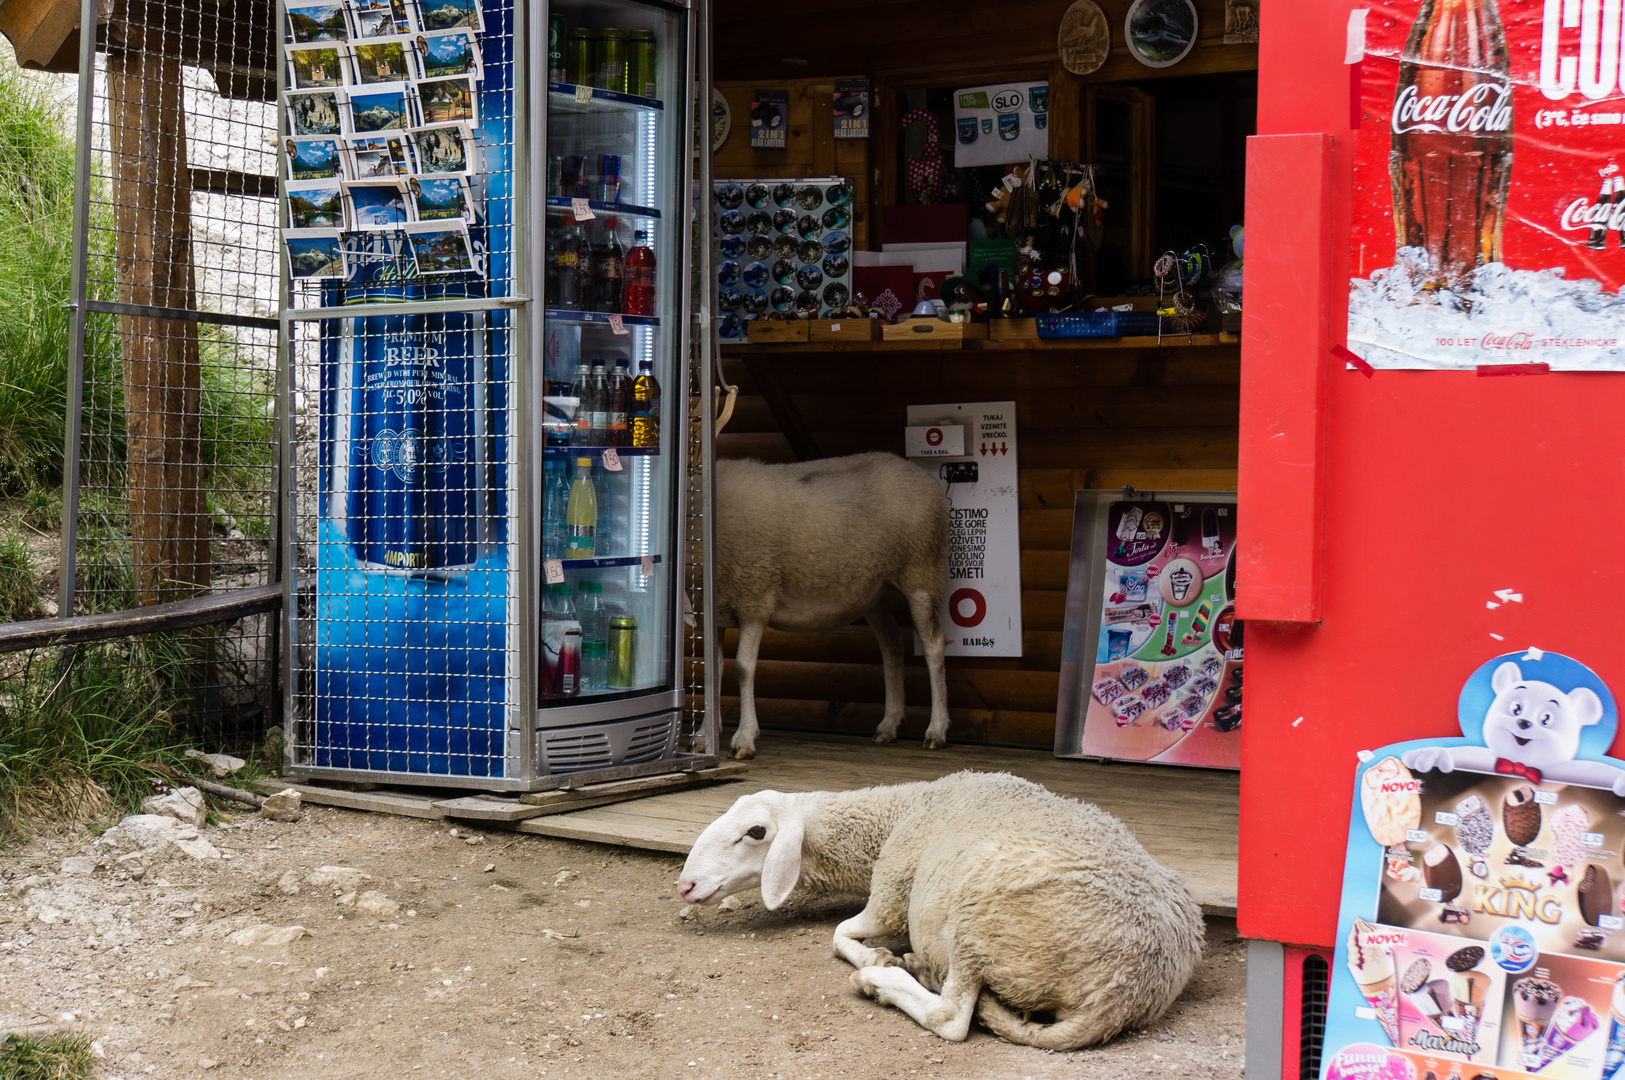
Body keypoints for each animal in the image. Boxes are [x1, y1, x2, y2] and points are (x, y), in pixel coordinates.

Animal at [676, 769, 1209, 1045]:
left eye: (756, 832)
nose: (685, 885)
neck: (894, 818)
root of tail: (1125, 992)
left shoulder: (892, 893)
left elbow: (840, 934)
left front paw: (874, 957)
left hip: (980, 914)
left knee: (951, 1019)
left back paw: (884, 980)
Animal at [715, 451, 949, 756]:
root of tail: (918, 472)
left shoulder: (755, 594)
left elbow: (743, 668)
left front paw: (743, 738)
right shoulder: (715, 608)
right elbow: (714, 669)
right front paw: (704, 736)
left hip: (922, 570)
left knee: (933, 645)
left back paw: (937, 730)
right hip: (874, 589)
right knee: (891, 641)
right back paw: (888, 724)